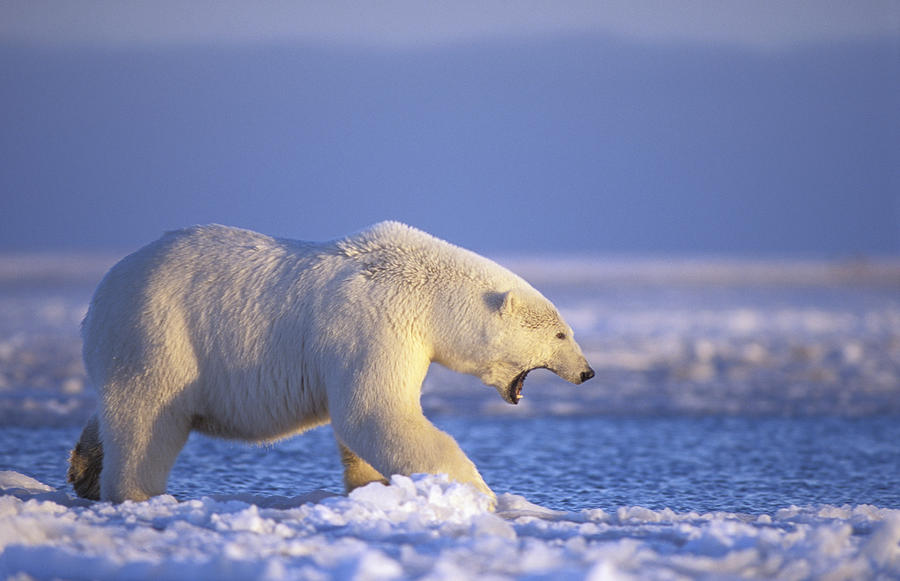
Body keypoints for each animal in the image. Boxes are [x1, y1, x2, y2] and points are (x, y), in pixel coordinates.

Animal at [68, 222, 592, 502]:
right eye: (561, 333)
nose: (588, 371)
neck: (428, 295)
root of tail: (99, 295)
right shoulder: (378, 325)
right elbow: (375, 412)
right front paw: (477, 493)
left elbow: (363, 425)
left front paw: (371, 490)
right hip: (158, 332)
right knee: (146, 420)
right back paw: (134, 493)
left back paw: (84, 471)